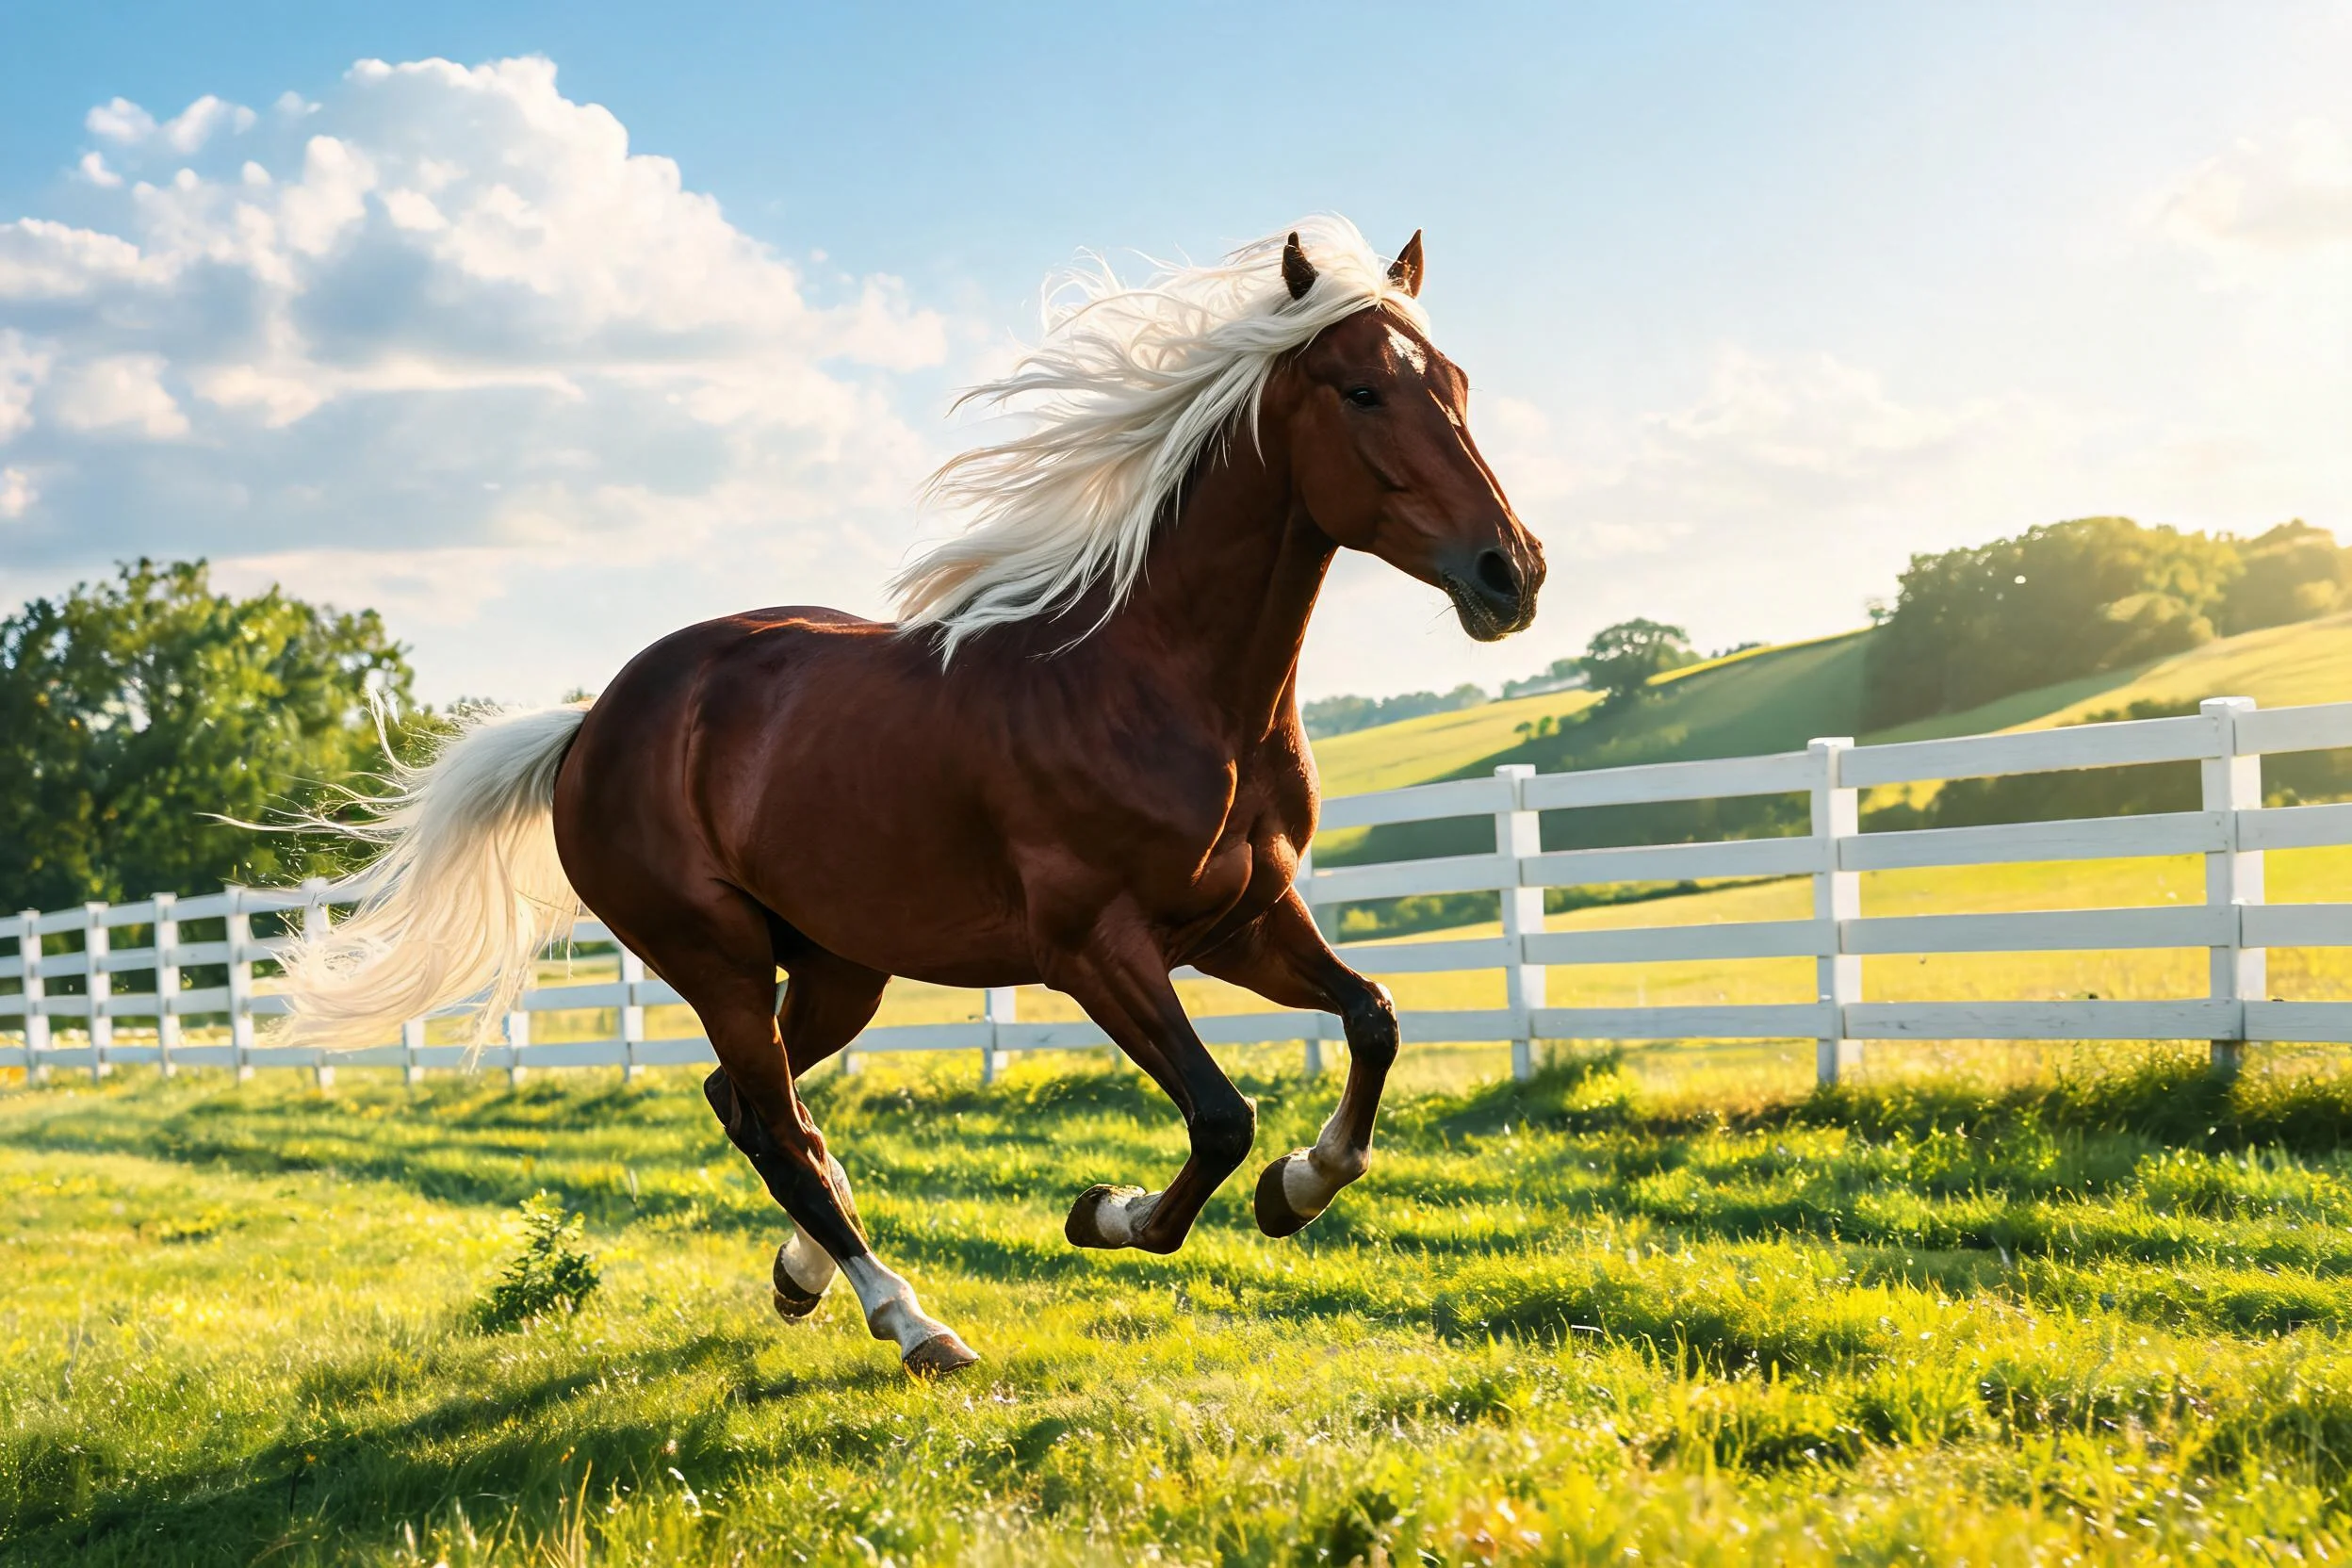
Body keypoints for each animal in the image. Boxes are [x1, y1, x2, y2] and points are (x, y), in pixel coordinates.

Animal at [278, 217, 1544, 1377]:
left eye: (1458, 384)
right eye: (1363, 390)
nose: (1512, 572)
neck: (1156, 681)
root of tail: (590, 726)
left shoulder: (1242, 920)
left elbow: (1373, 1017)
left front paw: (1301, 1185)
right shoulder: (1095, 947)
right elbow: (1220, 1116)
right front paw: (1110, 1210)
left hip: (841, 967)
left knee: (756, 1107)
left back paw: (809, 1274)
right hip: (716, 957)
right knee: (775, 1120)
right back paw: (911, 1318)